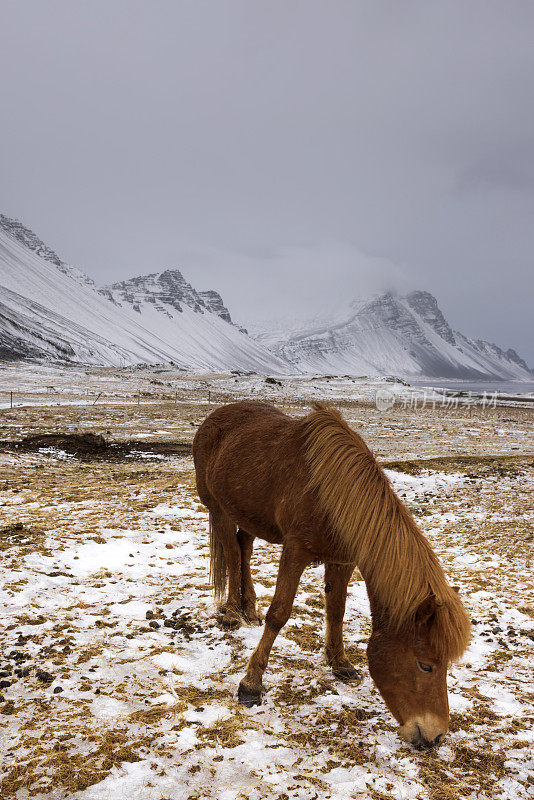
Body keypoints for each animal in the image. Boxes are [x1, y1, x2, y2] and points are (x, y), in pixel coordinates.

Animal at [194, 404, 474, 748]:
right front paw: (251, 684)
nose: (435, 736)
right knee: (233, 555)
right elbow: (279, 614)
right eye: (426, 665)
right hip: (219, 509)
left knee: (243, 549)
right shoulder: (296, 551)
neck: (332, 494)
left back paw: (249, 609)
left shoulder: (342, 561)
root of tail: (213, 419)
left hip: (249, 513)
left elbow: (336, 611)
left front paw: (340, 663)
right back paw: (233, 612)